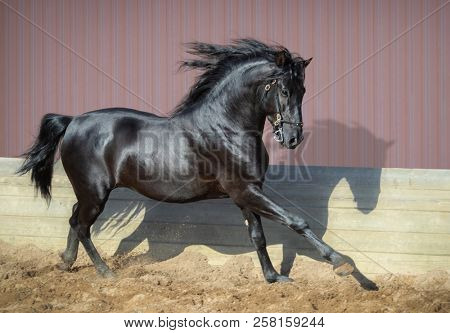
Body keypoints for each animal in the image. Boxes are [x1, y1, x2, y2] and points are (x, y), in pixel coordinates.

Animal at [16, 40, 356, 282]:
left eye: (304, 90)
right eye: (284, 90)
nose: (293, 138)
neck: (226, 126)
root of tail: (72, 121)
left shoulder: (246, 194)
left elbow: (257, 236)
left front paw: (273, 277)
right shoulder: (245, 191)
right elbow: (295, 221)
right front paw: (342, 264)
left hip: (88, 193)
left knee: (75, 220)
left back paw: (66, 263)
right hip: (95, 193)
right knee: (82, 225)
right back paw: (105, 273)